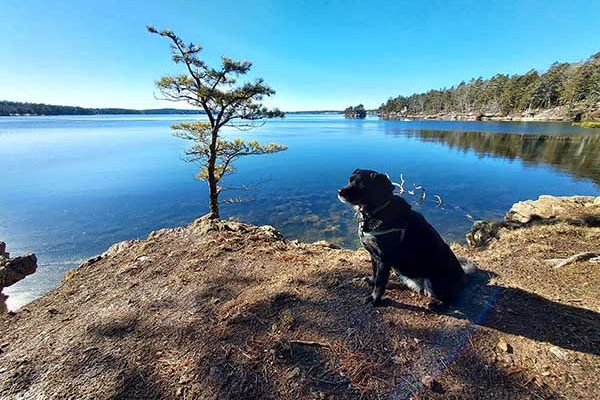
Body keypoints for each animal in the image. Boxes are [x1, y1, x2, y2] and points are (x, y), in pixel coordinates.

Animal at [340, 168, 472, 306]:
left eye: (361, 184)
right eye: (350, 180)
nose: (340, 191)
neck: (377, 211)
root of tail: (464, 278)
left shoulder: (383, 260)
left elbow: (380, 283)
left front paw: (374, 299)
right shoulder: (374, 255)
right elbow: (375, 273)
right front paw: (371, 281)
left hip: (434, 282)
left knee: (449, 299)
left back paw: (435, 305)